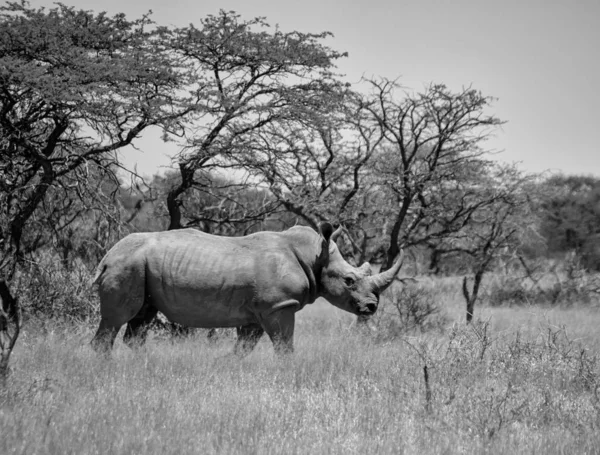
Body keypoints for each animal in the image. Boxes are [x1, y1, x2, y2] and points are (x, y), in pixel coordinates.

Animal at [91, 223, 404, 354]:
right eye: (349, 281)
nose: (371, 307)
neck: (316, 255)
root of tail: (106, 256)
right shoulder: (280, 305)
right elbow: (285, 346)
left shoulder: (260, 311)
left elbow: (243, 348)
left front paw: (225, 366)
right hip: (127, 265)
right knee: (117, 319)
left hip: (140, 267)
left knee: (141, 318)